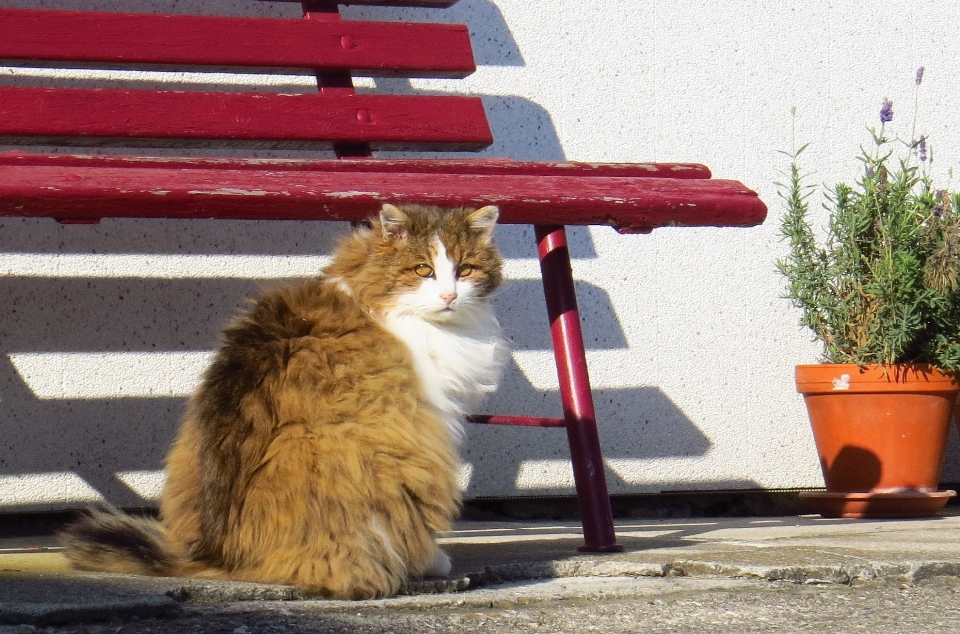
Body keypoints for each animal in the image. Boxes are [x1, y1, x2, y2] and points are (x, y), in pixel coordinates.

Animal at [58, 202, 510, 596]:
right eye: (423, 270)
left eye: (465, 270)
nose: (450, 296)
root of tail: (219, 556)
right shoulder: (428, 418)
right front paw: (435, 559)